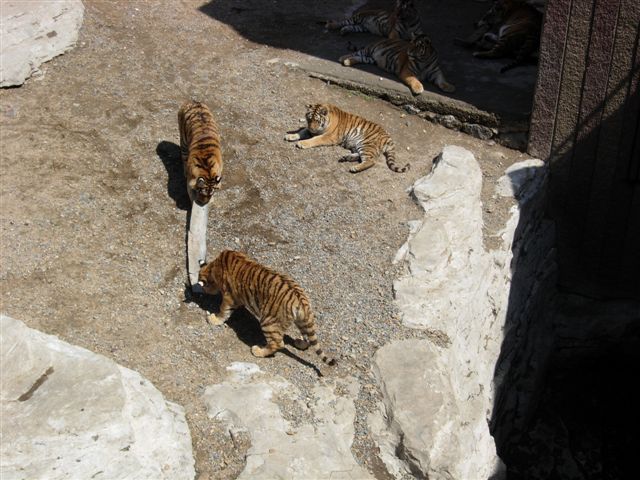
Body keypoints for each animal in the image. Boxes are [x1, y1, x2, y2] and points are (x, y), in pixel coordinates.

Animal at [197, 250, 337, 366]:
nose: (202, 290)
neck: (214, 267)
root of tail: (301, 301)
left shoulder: (229, 296)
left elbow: (223, 310)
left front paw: (214, 319)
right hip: (302, 321)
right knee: (307, 336)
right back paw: (300, 343)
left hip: (268, 322)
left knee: (278, 343)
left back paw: (257, 350)